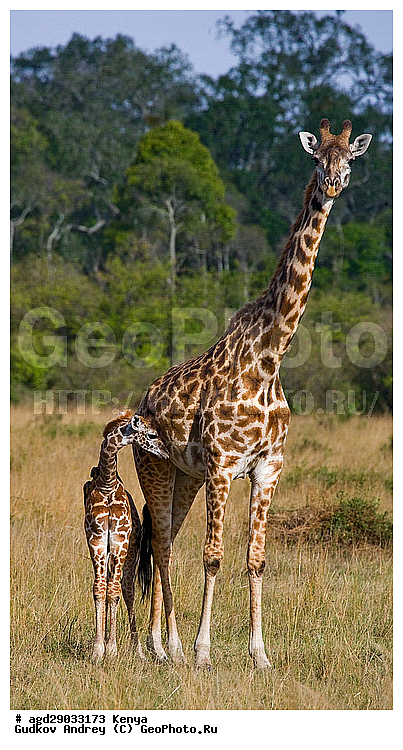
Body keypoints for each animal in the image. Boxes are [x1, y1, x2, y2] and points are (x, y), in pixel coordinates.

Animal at [83, 410, 168, 662]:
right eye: (152, 434)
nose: (166, 453)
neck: (107, 483)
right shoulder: (97, 541)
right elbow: (99, 589)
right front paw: (98, 649)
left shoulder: (119, 542)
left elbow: (114, 592)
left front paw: (111, 649)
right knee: (111, 585)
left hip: (129, 554)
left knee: (126, 590)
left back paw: (138, 650)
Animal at [133, 118, 372, 668]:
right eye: (316, 160)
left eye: (349, 159)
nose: (332, 186)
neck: (269, 360)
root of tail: (144, 399)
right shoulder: (223, 465)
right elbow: (214, 556)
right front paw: (203, 651)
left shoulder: (268, 467)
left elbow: (256, 559)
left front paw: (259, 654)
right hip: (156, 467)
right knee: (162, 542)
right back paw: (163, 647)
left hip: (186, 476)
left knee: (164, 540)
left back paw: (164, 646)